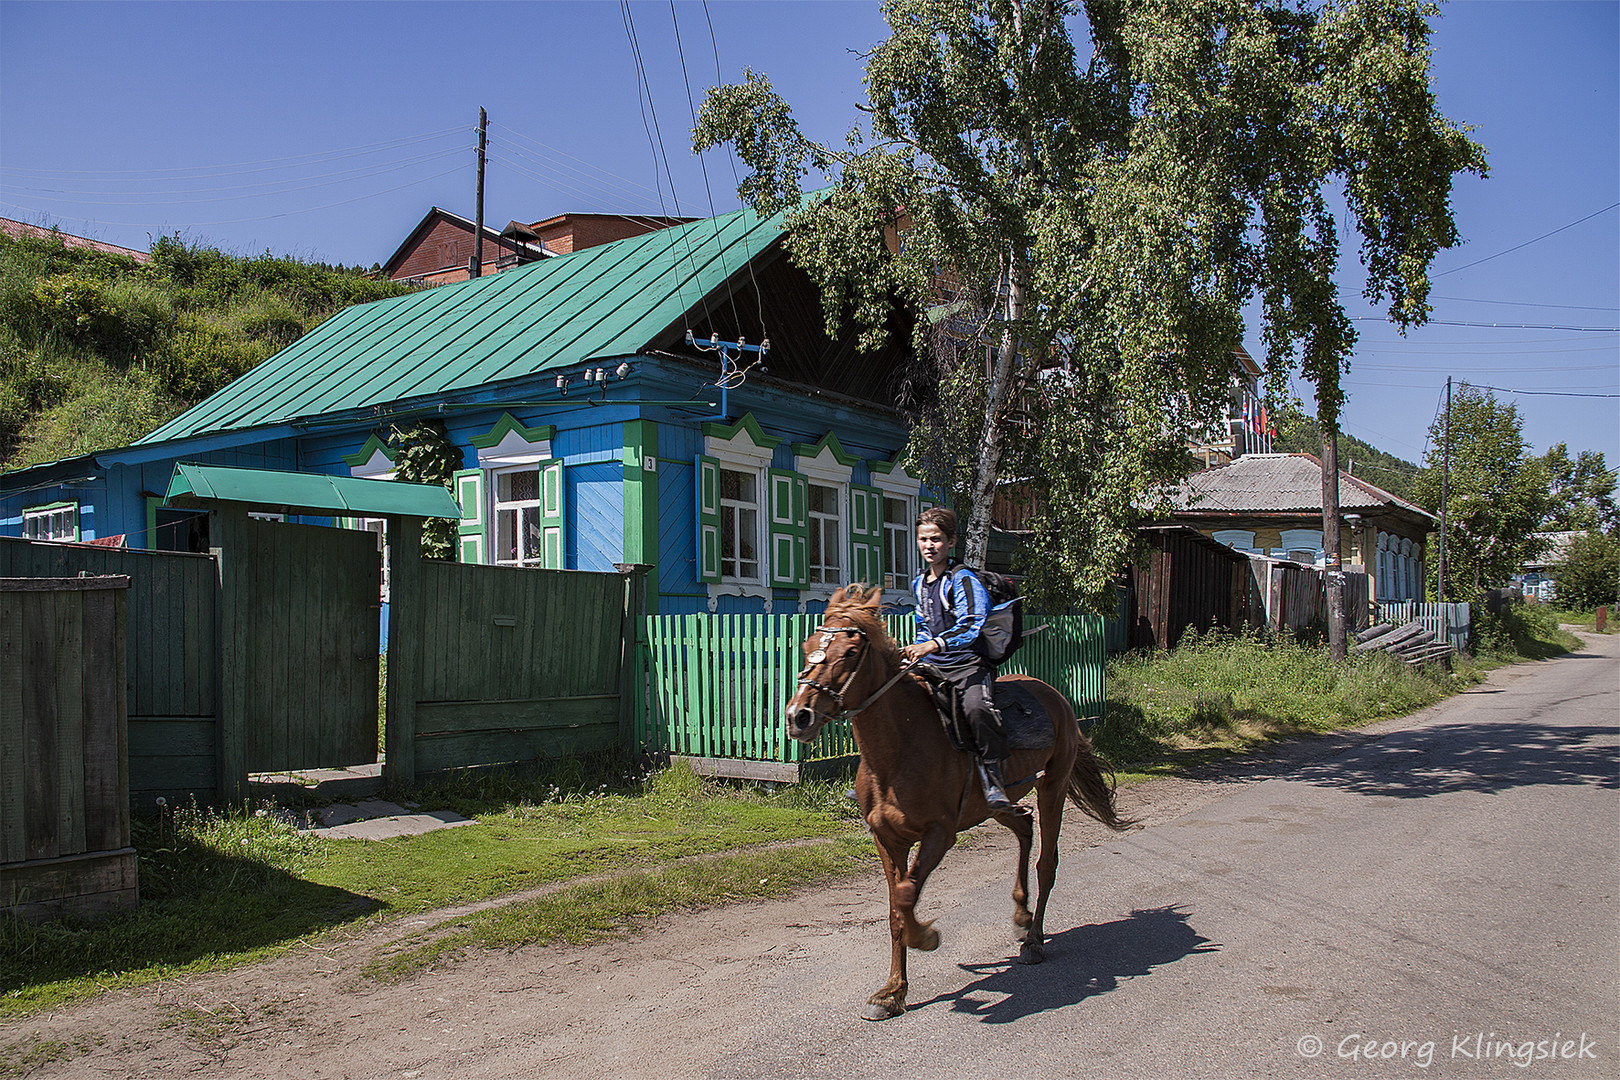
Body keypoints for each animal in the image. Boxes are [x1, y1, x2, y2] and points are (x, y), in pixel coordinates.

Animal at [784, 586, 1127, 1016]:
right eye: (808, 646)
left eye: (848, 653)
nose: (798, 716)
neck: (900, 749)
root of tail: (1056, 698)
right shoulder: (887, 839)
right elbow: (895, 911)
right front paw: (892, 991)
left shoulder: (939, 834)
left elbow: (906, 895)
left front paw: (926, 938)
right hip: (997, 805)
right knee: (1024, 825)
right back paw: (1021, 915)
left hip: (1054, 787)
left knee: (1046, 862)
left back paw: (1033, 940)